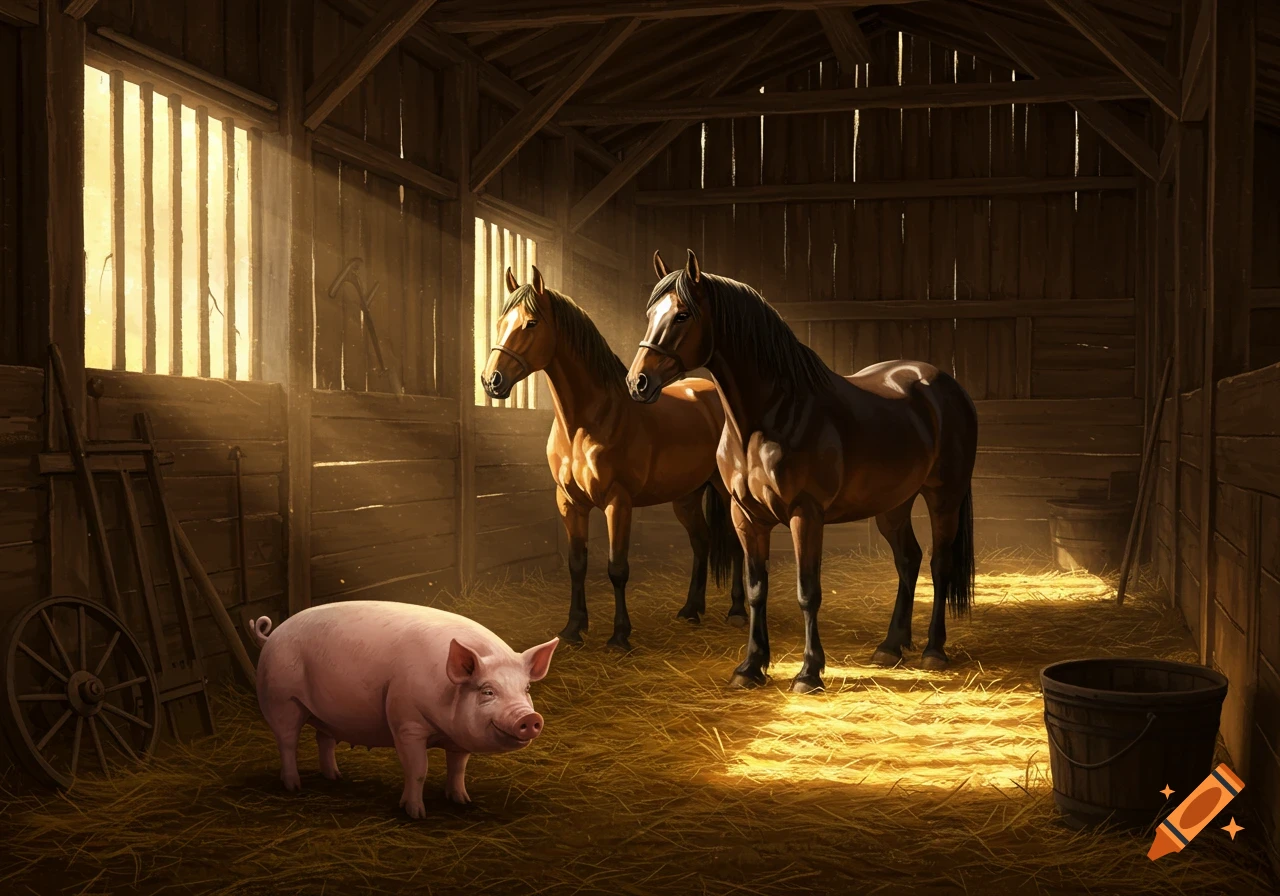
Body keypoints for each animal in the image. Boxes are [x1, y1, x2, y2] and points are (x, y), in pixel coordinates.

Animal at [246, 601, 558, 818]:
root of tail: (271, 635)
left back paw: (335, 777)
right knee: (287, 741)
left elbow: (458, 768)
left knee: (324, 738)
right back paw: (293, 786)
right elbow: (418, 769)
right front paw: (416, 814)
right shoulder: (406, 722)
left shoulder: (458, 740)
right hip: (281, 698)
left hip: (327, 714)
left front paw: (462, 801)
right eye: (487, 691)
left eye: (526, 689)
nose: (529, 717)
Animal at [481, 265, 747, 651]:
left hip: (725, 493)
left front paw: (620, 636)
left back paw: (737, 611)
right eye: (502, 321)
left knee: (736, 545)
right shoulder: (569, 502)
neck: (586, 423)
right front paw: (573, 629)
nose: (491, 380)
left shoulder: (617, 502)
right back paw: (690, 610)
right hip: (685, 496)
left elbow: (617, 568)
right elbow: (577, 564)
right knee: (701, 542)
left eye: (530, 323)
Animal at [626, 250, 978, 693]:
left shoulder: (805, 514)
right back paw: (890, 647)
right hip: (893, 504)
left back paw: (933, 650)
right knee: (908, 561)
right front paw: (750, 667)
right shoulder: (746, 516)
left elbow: (807, 591)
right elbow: (757, 589)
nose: (637, 382)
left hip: (943, 497)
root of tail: (945, 384)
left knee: (939, 564)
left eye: (683, 315)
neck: (769, 417)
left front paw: (809, 672)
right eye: (650, 313)